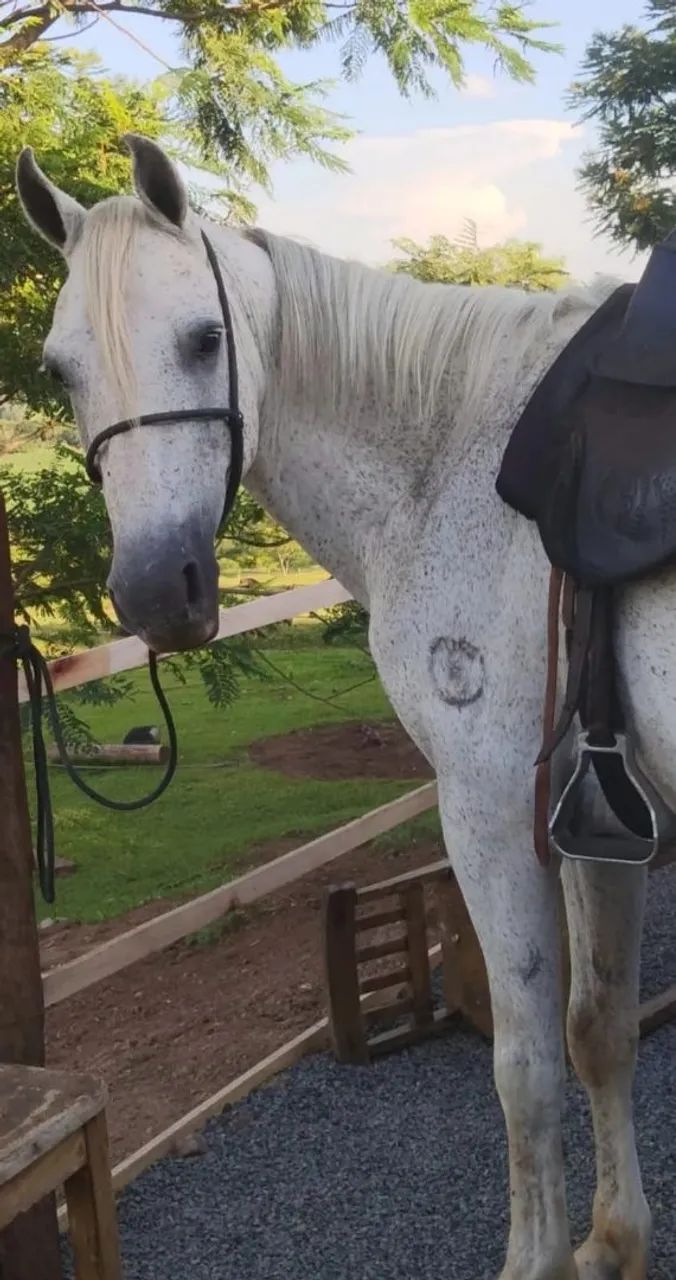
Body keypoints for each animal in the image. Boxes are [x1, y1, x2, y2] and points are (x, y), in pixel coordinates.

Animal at [17, 134, 667, 1280]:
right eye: (59, 369)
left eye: (203, 339)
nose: (156, 591)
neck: (451, 462)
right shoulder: (594, 815)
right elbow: (600, 1030)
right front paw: (611, 1240)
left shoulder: (489, 806)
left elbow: (526, 1070)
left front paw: (541, 1254)